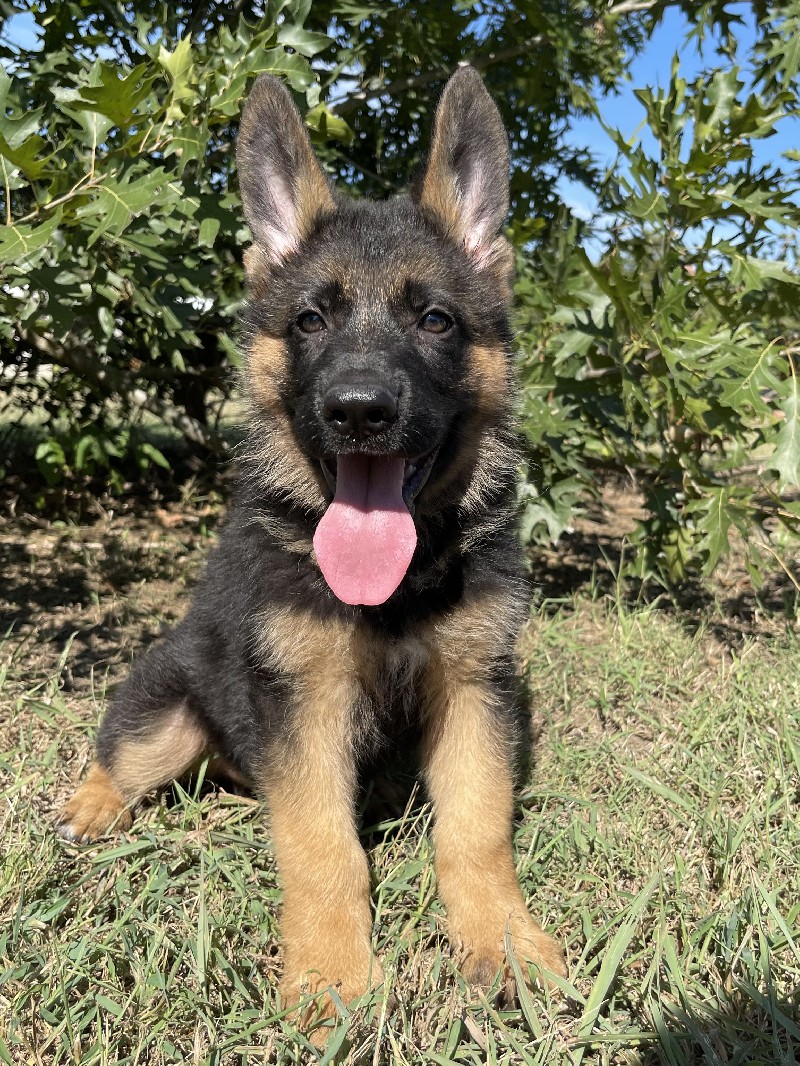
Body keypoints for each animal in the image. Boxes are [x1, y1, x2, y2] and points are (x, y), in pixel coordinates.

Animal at [57, 64, 563, 1023]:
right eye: (308, 323)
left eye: (436, 321)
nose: (359, 411)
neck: (398, 585)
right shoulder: (304, 704)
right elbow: (324, 846)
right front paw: (333, 978)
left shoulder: (474, 690)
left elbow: (476, 830)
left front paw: (504, 939)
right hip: (168, 711)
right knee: (115, 756)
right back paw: (88, 813)